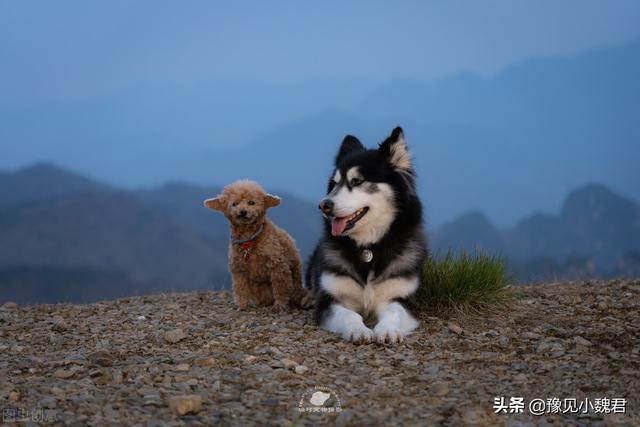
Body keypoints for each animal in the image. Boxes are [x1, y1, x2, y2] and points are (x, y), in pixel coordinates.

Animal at [306, 127, 428, 344]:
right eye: (334, 184)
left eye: (357, 181)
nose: (323, 205)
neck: (369, 246)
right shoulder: (330, 300)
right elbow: (349, 314)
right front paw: (358, 329)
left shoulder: (402, 298)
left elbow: (394, 312)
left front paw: (387, 330)